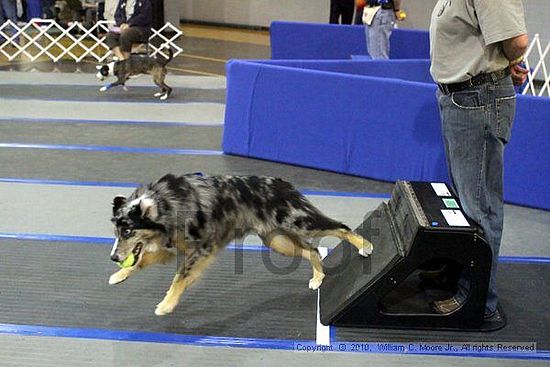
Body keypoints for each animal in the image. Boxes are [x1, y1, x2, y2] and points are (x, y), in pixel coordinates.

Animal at [109, 173, 374, 316]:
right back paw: (318, 277)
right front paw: (119, 275)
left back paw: (365, 246)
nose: (113, 257)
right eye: (116, 232)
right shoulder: (171, 248)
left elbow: (179, 278)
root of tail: (284, 183)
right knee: (312, 250)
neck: (166, 205)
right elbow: (141, 261)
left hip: (299, 222)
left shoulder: (202, 249)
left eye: (128, 231)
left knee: (340, 227)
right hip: (276, 241)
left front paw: (166, 305)